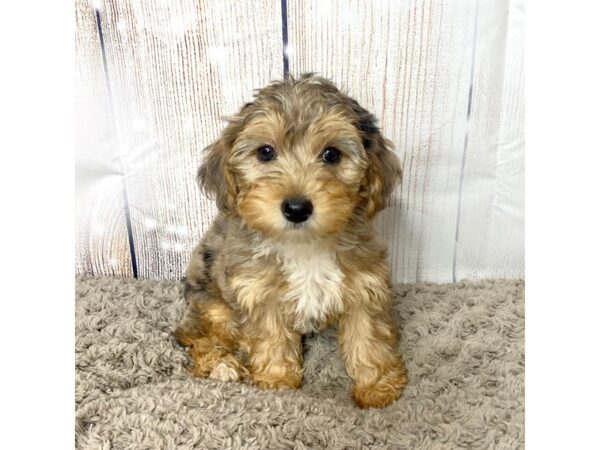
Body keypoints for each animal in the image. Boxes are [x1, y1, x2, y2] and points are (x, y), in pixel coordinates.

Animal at [175, 73, 408, 408]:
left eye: (332, 154)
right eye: (265, 152)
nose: (297, 208)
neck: (304, 245)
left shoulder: (365, 287)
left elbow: (368, 337)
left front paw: (377, 387)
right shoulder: (258, 292)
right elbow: (271, 337)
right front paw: (277, 381)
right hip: (212, 304)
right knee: (194, 336)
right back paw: (222, 365)